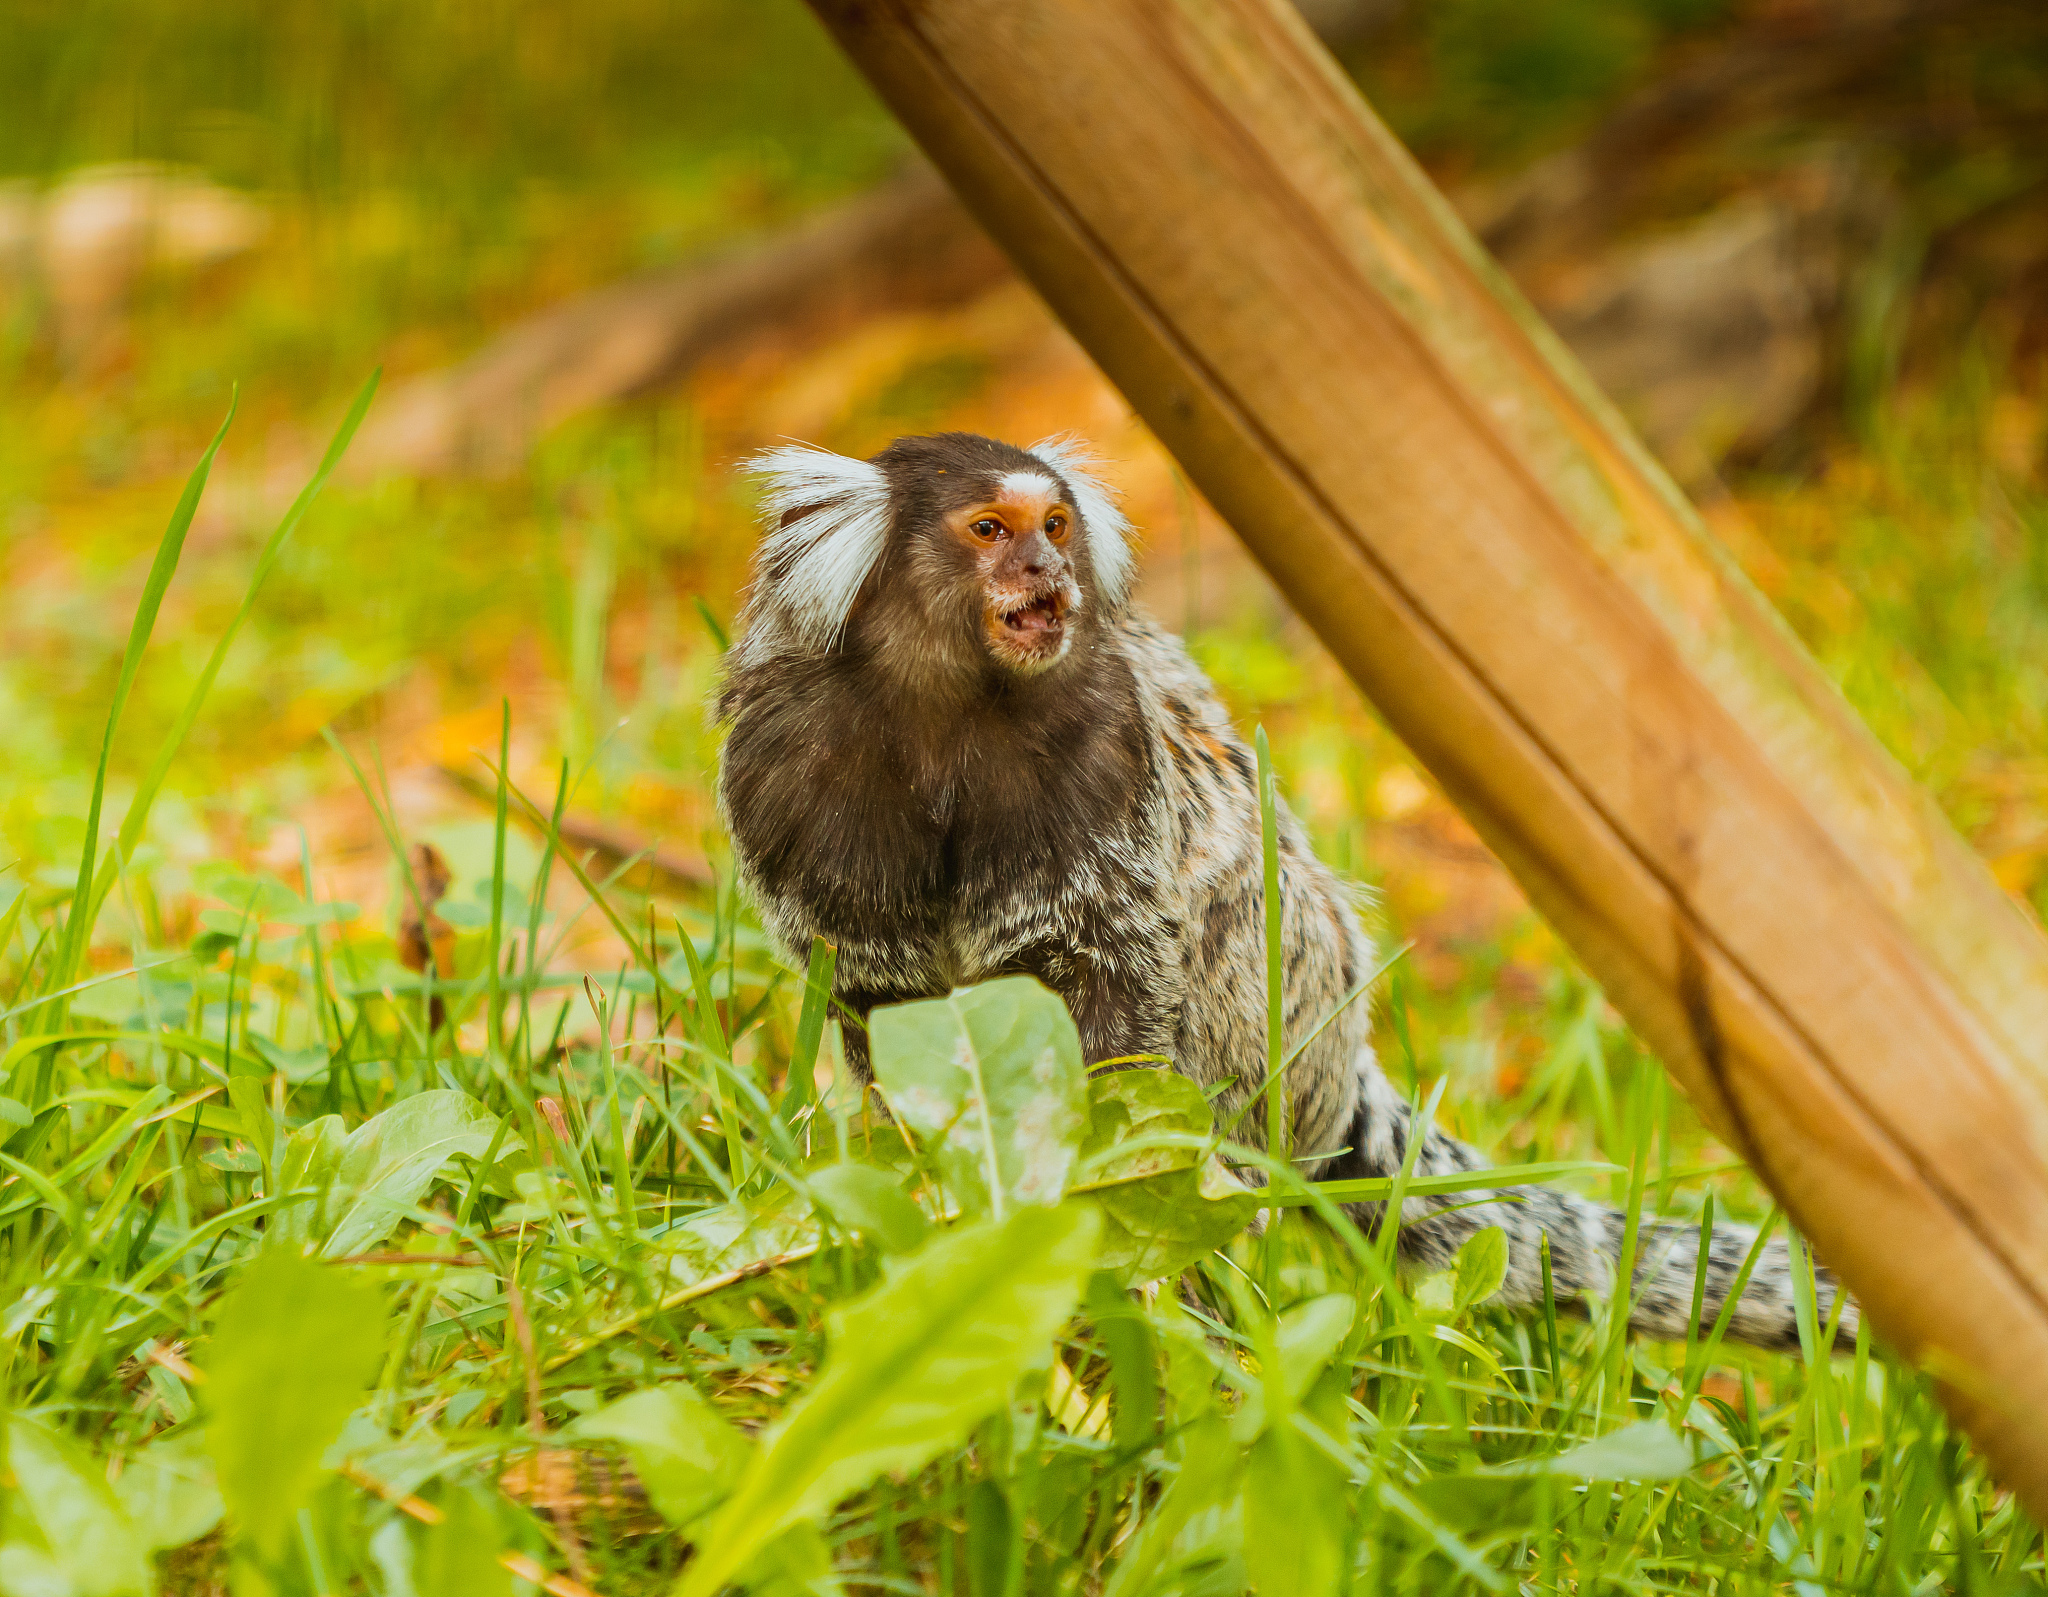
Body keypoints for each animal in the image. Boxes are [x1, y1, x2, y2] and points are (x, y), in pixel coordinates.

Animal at [715, 430, 1853, 1353]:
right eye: (989, 529)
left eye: (1053, 525)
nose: (1044, 568)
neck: (946, 718)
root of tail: (1340, 1066)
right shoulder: (782, 769)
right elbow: (877, 999)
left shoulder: (1108, 754)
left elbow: (1114, 979)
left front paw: (1092, 1189)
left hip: (1284, 1016)